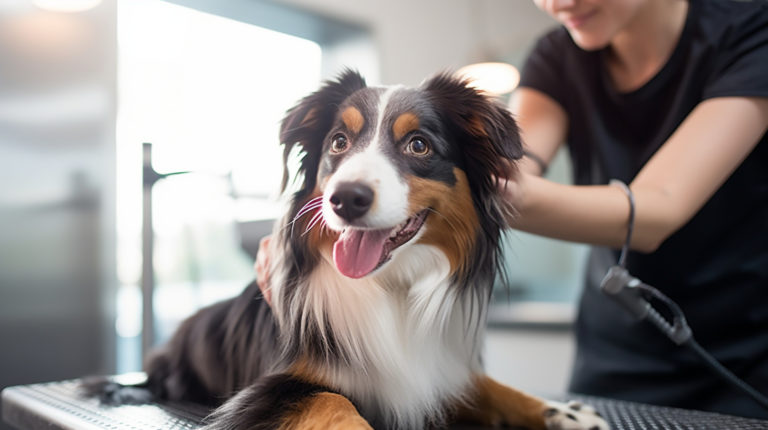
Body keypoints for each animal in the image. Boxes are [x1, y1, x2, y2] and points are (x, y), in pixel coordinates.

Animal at [88, 71, 608, 430]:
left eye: (419, 145)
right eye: (339, 141)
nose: (346, 198)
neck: (391, 288)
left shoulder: (439, 369)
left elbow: (493, 386)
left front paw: (563, 412)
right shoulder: (265, 392)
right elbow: (333, 400)